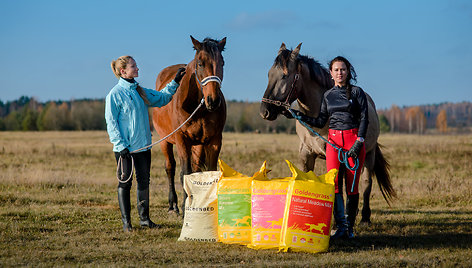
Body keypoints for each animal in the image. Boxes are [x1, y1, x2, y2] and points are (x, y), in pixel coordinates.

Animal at [151, 36, 225, 216]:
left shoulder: (214, 141)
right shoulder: (182, 140)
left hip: (198, 145)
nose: (213, 100)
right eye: (200, 63)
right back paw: (173, 206)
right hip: (165, 141)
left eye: (222, 63)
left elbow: (209, 172)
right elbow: (185, 172)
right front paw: (186, 207)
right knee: (170, 167)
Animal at [260, 43, 396, 224]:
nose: (265, 111)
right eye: (269, 74)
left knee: (366, 183)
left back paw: (364, 217)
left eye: (284, 76)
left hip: (368, 154)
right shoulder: (306, 154)